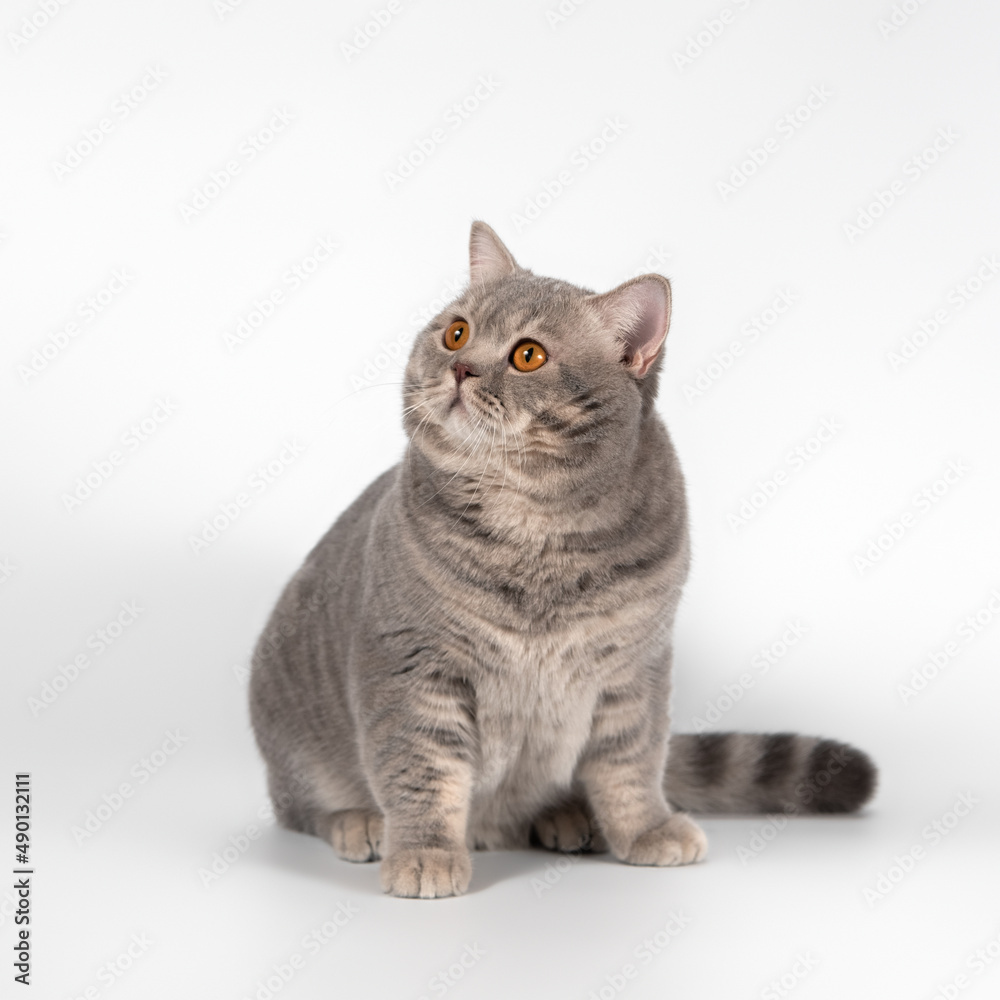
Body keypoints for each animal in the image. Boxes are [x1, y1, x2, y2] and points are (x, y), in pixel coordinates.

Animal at [250, 221, 876, 900]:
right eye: (456, 332)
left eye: (528, 355)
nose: (462, 368)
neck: (538, 529)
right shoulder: (413, 665)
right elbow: (420, 769)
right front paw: (423, 853)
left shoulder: (635, 667)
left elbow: (631, 763)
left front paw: (645, 827)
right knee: (299, 807)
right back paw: (359, 822)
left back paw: (570, 818)